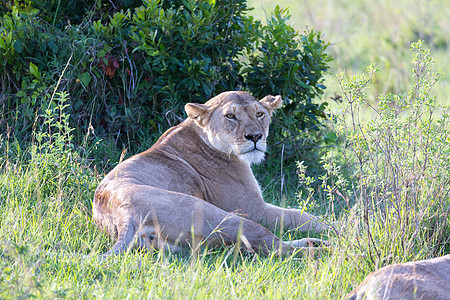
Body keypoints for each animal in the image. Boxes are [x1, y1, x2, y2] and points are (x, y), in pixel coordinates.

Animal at [93, 91, 328, 255]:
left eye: (260, 114)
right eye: (230, 116)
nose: (255, 136)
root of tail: (123, 215)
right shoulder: (253, 209)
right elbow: (300, 215)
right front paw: (333, 226)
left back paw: (316, 243)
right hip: (227, 217)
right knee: (279, 249)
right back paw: (325, 249)